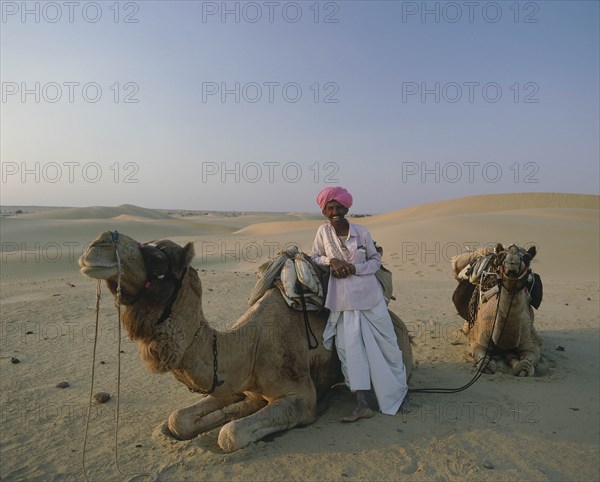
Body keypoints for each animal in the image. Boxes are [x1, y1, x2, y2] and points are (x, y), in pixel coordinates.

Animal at [77, 230, 412, 452]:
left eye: (159, 260)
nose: (98, 243)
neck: (249, 345)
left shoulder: (300, 396)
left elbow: (230, 434)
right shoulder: (236, 383)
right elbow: (178, 420)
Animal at [452, 245, 540, 376]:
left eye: (527, 258)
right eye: (500, 257)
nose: (512, 263)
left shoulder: (531, 344)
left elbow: (525, 364)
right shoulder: (478, 341)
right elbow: (485, 363)